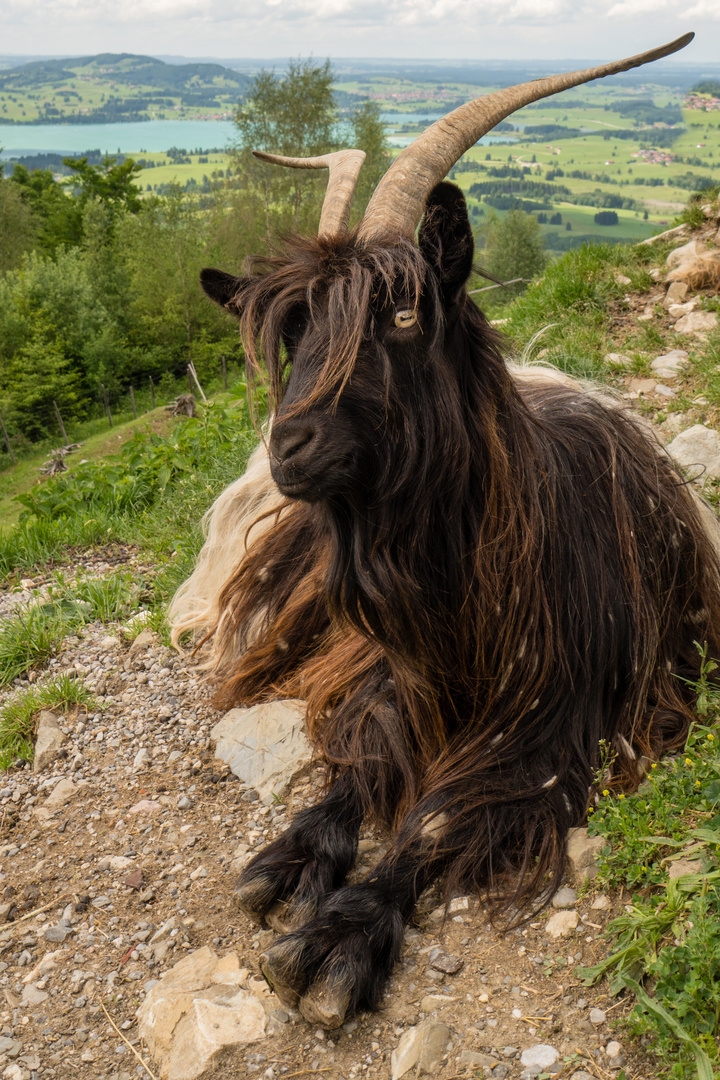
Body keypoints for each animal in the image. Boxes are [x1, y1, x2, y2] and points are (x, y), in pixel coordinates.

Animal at [170, 31, 720, 1028]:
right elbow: (360, 766)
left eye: (399, 313)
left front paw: (341, 939)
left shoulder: (556, 734)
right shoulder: (390, 675)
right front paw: (291, 858)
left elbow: (438, 815)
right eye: (294, 331)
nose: (289, 446)